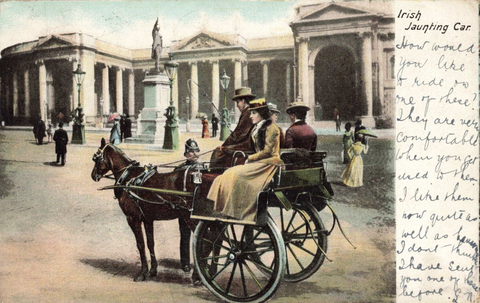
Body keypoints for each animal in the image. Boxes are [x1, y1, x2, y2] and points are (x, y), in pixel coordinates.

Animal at [91, 139, 198, 284]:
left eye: (96, 157)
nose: (93, 175)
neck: (129, 178)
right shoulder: (148, 219)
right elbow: (150, 243)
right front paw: (152, 270)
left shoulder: (133, 218)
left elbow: (140, 244)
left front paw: (142, 273)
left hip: (191, 218)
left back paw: (198, 277)